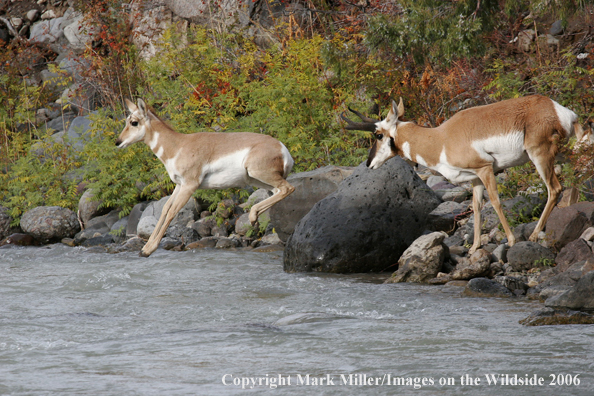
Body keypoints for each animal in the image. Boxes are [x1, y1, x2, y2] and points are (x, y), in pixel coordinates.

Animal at [115, 100, 294, 256]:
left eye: (134, 122)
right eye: (127, 120)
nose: (118, 142)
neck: (178, 145)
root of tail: (282, 149)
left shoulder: (189, 186)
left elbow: (173, 211)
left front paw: (148, 250)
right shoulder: (179, 185)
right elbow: (165, 209)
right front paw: (144, 249)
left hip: (259, 173)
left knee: (288, 188)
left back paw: (252, 216)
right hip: (256, 179)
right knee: (279, 191)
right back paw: (254, 219)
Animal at [342, 95, 588, 254]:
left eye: (378, 135)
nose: (368, 163)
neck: (441, 138)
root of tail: (560, 110)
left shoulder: (485, 169)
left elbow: (495, 202)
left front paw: (510, 240)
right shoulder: (475, 179)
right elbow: (477, 207)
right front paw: (475, 247)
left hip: (540, 155)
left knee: (554, 189)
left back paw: (535, 235)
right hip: (562, 154)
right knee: (578, 173)